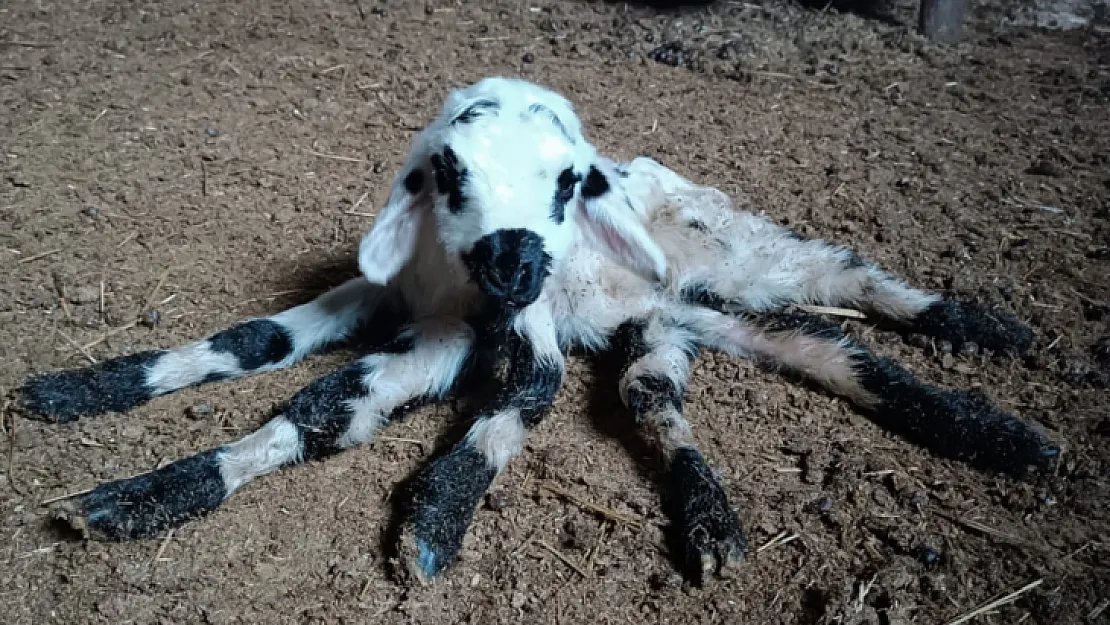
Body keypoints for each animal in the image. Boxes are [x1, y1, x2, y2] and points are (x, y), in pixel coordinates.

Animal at [15, 74, 1056, 586]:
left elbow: (505, 395)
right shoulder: (403, 304)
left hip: (739, 252)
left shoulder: (504, 332)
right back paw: (722, 517)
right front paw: (105, 434)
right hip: (671, 324)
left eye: (565, 182)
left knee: (843, 280)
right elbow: (274, 356)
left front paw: (433, 519)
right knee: (744, 371)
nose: (515, 265)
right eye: (448, 174)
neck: (461, 293)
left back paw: (995, 354)